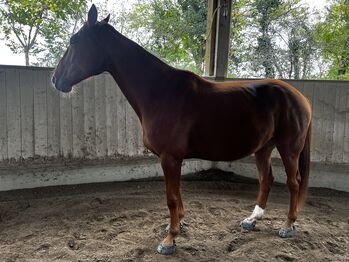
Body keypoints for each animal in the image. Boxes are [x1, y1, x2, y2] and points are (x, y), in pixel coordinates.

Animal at [52, 5, 312, 256]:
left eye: (74, 41)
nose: (56, 80)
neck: (161, 92)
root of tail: (300, 98)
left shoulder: (170, 158)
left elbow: (171, 198)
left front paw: (170, 240)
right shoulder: (173, 160)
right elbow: (177, 197)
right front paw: (177, 225)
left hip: (288, 149)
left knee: (294, 182)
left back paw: (288, 226)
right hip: (263, 148)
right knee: (266, 179)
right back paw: (252, 220)